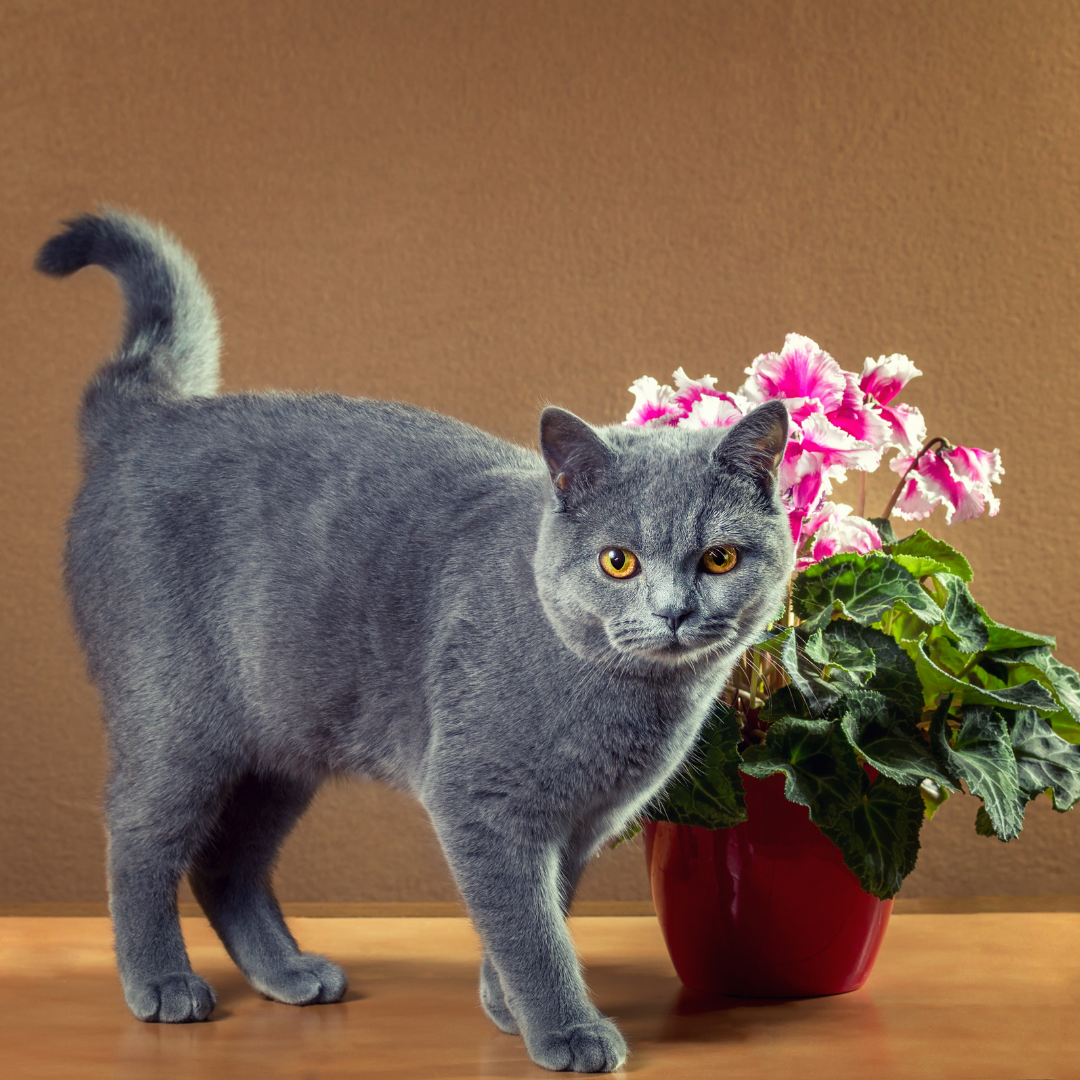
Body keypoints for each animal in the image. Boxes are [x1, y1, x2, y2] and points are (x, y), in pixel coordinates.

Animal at [35, 210, 794, 1071]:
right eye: (619, 561)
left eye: (719, 558)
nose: (672, 611)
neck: (628, 708)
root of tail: (149, 416)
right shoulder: (482, 802)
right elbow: (529, 926)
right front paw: (564, 1029)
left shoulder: (579, 824)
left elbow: (547, 909)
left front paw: (506, 1006)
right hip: (176, 721)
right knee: (138, 838)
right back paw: (162, 984)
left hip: (284, 742)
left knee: (224, 863)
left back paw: (289, 972)